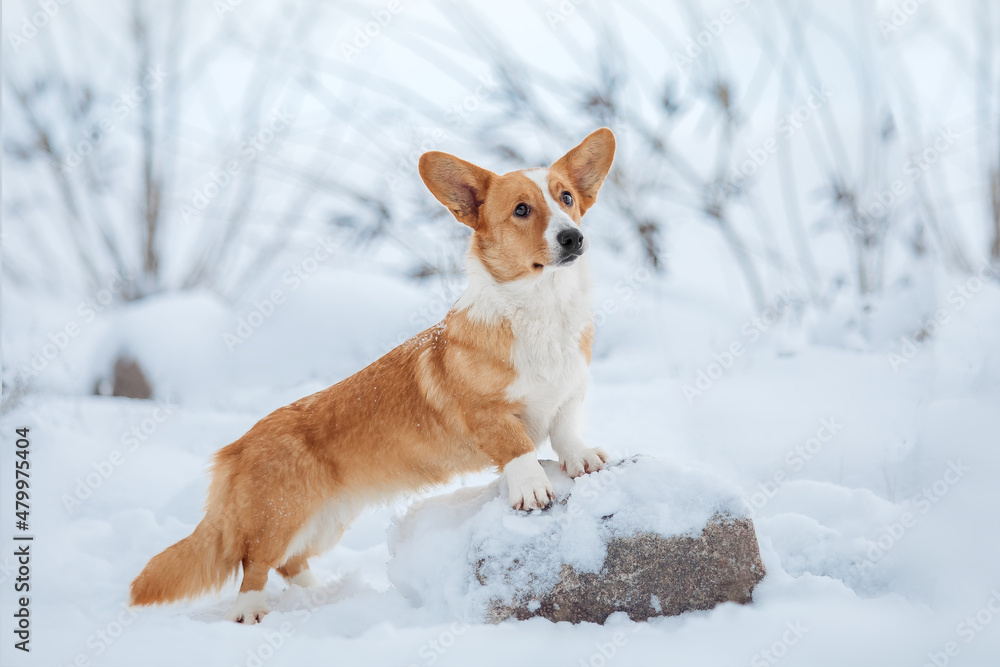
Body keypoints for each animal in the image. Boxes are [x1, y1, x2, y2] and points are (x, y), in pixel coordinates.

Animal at [131, 126, 616, 628]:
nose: (573, 237)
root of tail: (237, 447)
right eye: (521, 209)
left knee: (290, 562)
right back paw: (251, 612)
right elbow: (518, 449)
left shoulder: (569, 394)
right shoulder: (487, 416)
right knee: (255, 562)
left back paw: (324, 595)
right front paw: (532, 488)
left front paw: (582, 458)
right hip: (280, 516)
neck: (542, 310)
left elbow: (565, 430)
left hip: (326, 522)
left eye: (566, 198)